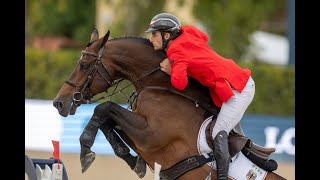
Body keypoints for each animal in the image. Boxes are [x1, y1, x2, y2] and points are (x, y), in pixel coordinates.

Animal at [52, 28, 284, 179]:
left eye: (84, 65)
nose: (59, 103)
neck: (159, 85)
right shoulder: (141, 136)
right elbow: (107, 120)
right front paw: (133, 162)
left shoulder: (150, 135)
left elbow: (104, 108)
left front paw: (85, 151)